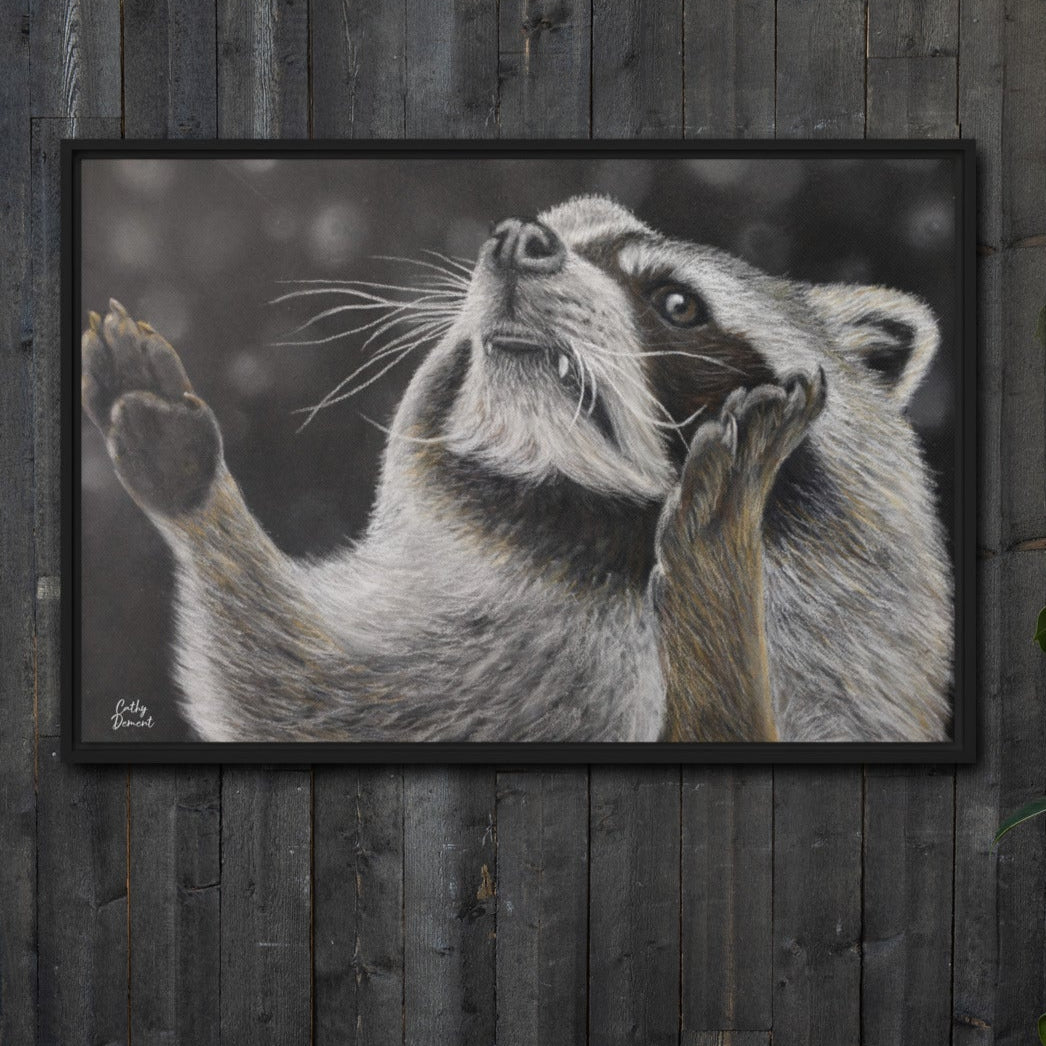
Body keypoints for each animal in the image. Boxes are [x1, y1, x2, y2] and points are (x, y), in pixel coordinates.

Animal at [80, 195, 951, 743]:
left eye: (676, 302)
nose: (517, 239)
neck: (599, 538)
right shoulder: (436, 676)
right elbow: (283, 688)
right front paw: (197, 495)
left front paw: (719, 572)